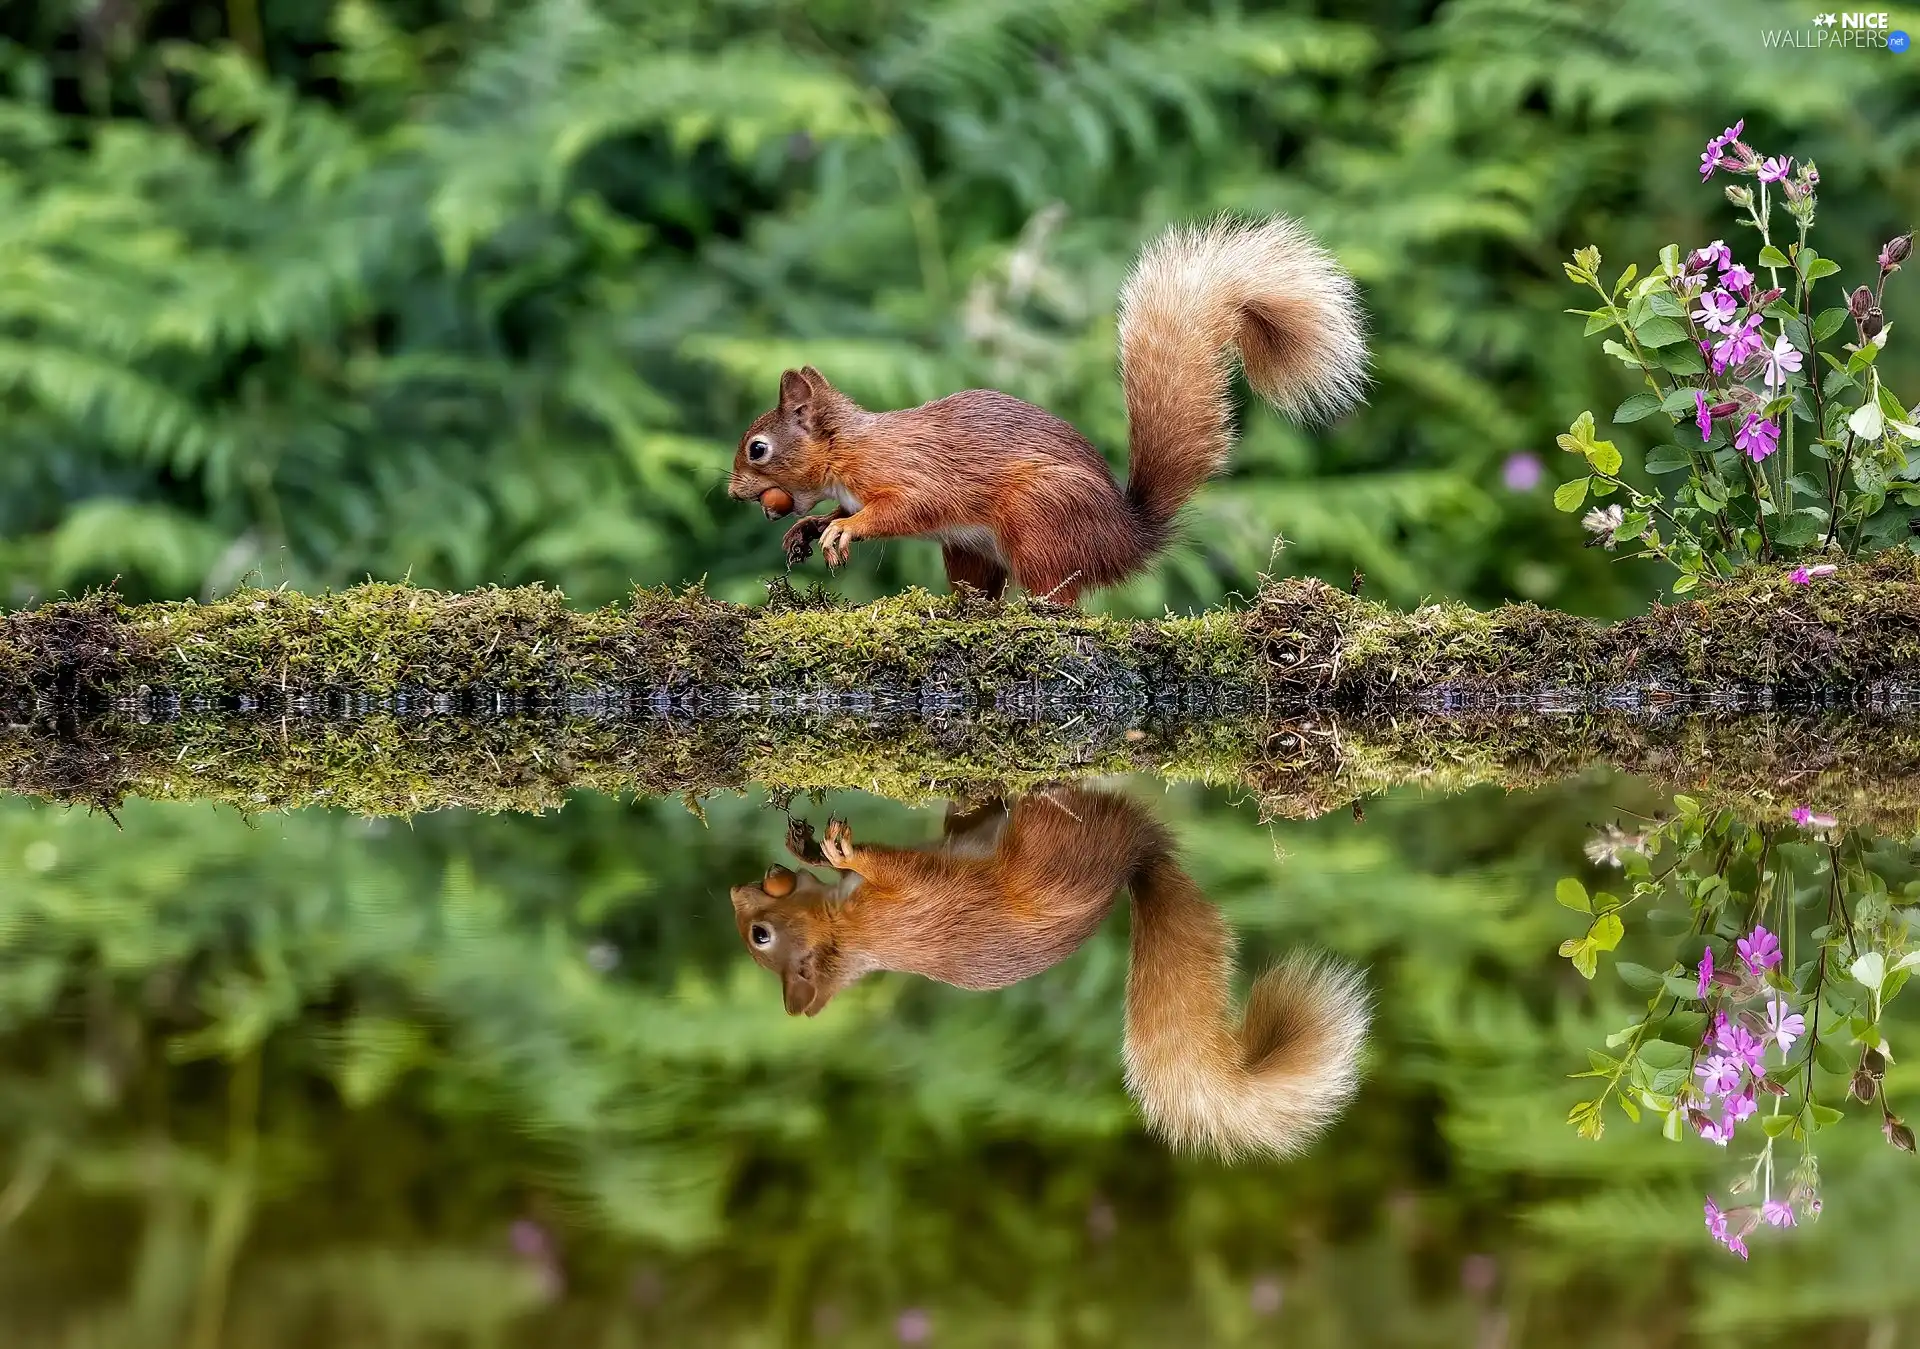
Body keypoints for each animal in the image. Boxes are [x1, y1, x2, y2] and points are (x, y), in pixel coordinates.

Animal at [721, 216, 1367, 606]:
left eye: (759, 449)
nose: (732, 492)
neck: (850, 448)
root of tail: (1124, 540)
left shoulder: (907, 473)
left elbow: (904, 508)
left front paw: (843, 529)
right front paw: (808, 529)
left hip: (1037, 520)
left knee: (1058, 600)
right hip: (971, 548)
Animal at [725, 790, 1374, 1159]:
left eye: (760, 933)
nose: (736, 891)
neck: (845, 931)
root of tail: (1135, 855)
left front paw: (811, 846)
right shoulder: (901, 903)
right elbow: (893, 866)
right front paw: (837, 850)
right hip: (1052, 837)